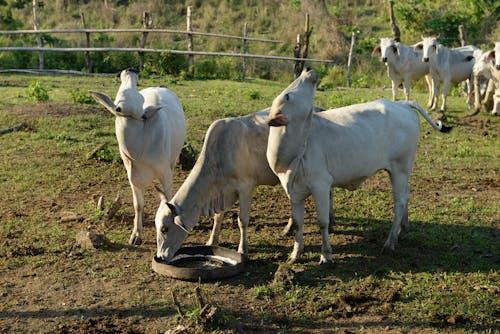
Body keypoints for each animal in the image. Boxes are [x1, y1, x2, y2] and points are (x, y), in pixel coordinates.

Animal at [90, 68, 186, 245]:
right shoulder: (132, 176)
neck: (141, 150)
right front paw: (136, 235)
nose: (130, 70)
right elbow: (138, 205)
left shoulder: (165, 173)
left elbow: (169, 200)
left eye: (141, 100)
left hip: (173, 159)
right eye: (117, 107)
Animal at [154, 108, 334, 262]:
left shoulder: (246, 187)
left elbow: (242, 221)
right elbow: (218, 216)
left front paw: (242, 250)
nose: (159, 257)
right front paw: (212, 240)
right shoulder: (223, 191)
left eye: (164, 229)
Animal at [266, 68, 450, 264]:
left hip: (400, 168)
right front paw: (295, 254)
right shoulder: (294, 192)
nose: (307, 69)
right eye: (287, 96)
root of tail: (402, 104)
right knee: (406, 195)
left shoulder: (321, 186)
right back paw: (403, 229)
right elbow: (298, 223)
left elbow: (323, 222)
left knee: (399, 201)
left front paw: (326, 255)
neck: (293, 152)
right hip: (402, 171)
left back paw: (390, 242)